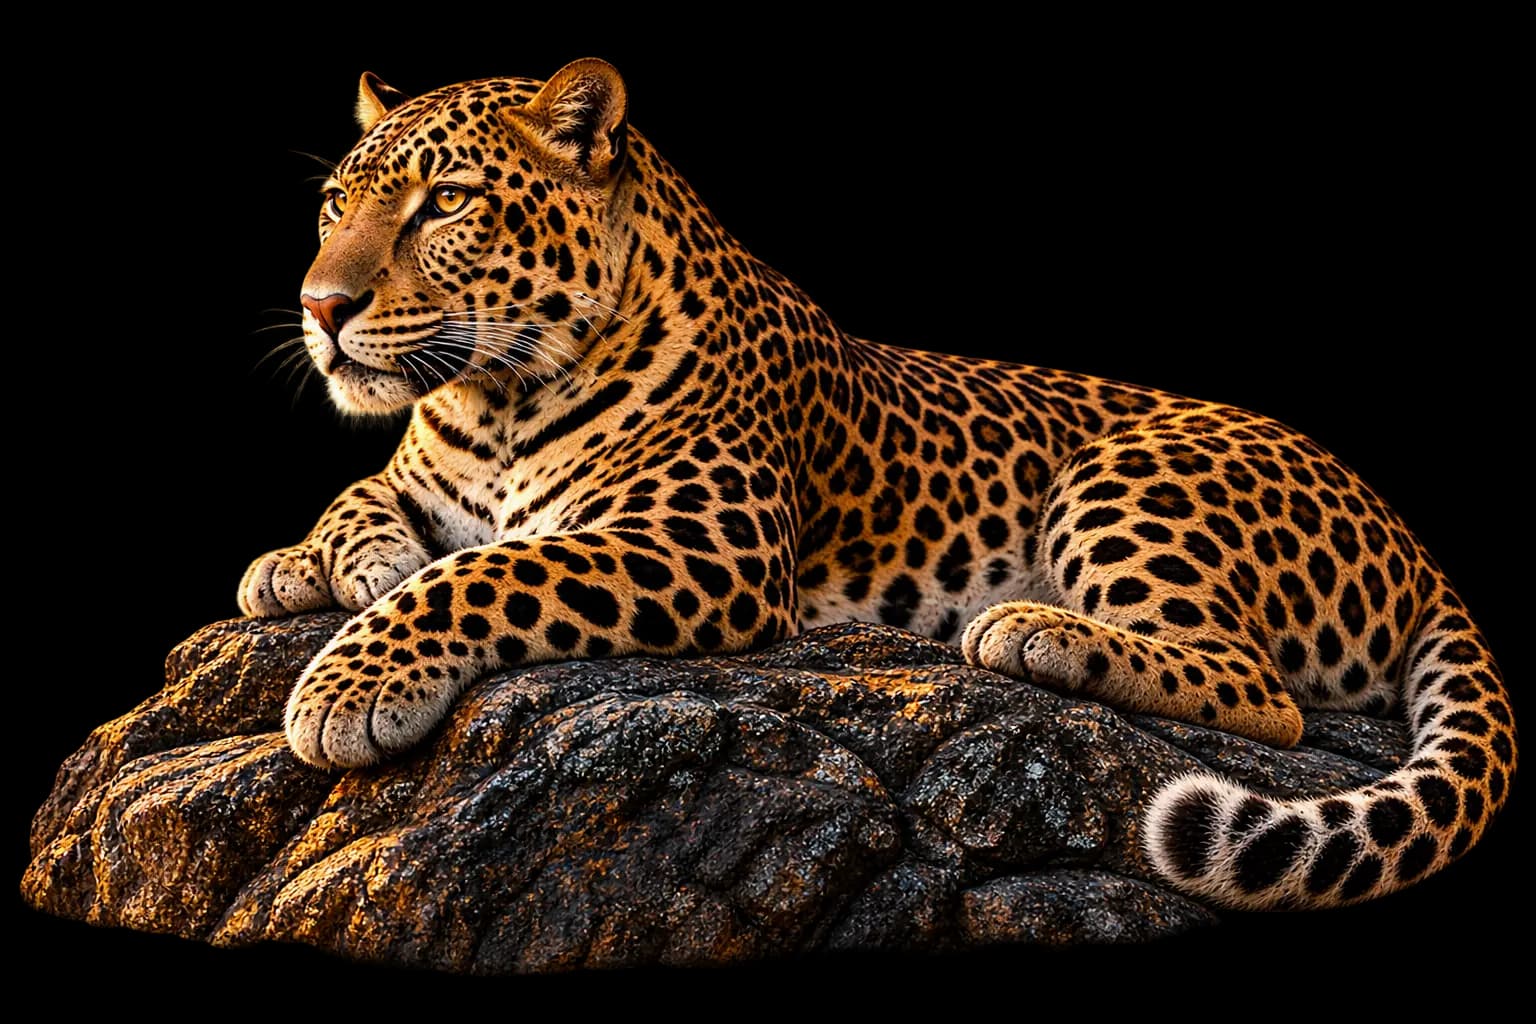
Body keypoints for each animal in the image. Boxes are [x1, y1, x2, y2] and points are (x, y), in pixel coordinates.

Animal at [240, 57, 1514, 912]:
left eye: (446, 203)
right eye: (333, 205)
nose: (321, 306)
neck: (494, 400)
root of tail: (1414, 542)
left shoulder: (701, 543)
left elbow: (488, 571)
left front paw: (345, 681)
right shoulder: (434, 463)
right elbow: (368, 500)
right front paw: (309, 563)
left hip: (1136, 472)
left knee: (1265, 690)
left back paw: (1036, 628)